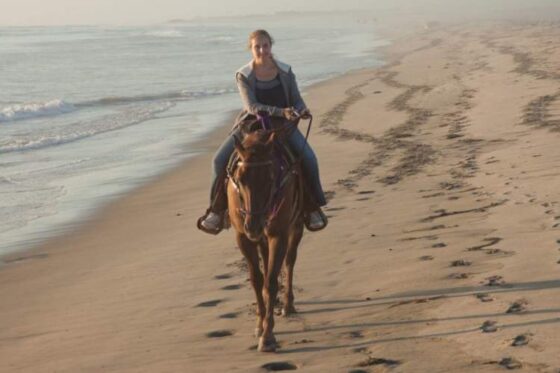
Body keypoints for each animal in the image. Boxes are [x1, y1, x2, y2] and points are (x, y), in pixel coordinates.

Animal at [225, 129, 304, 352]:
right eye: (240, 178)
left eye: (270, 178)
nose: (253, 225)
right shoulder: (243, 237)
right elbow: (257, 279)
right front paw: (260, 325)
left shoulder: (279, 234)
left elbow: (270, 281)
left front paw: (268, 336)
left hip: (296, 227)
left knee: (289, 261)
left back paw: (287, 304)